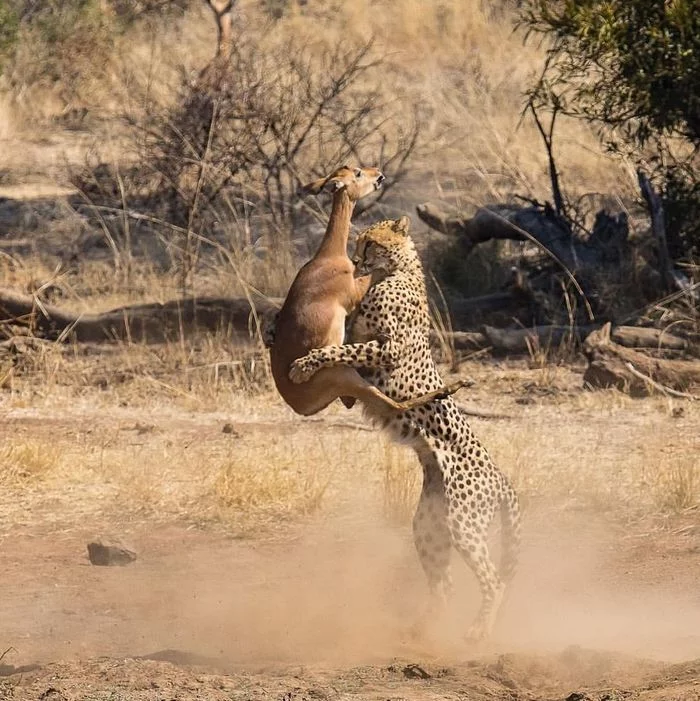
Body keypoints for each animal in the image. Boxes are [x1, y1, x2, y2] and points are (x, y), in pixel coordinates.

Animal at [290, 216, 520, 636]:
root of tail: (500, 476)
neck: (396, 270)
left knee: (494, 580)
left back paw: (478, 631)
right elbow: (346, 345)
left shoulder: (388, 348)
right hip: (429, 525)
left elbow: (340, 349)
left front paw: (304, 364)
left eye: (370, 242)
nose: (355, 259)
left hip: (464, 523)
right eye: (359, 241)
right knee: (444, 584)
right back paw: (420, 631)